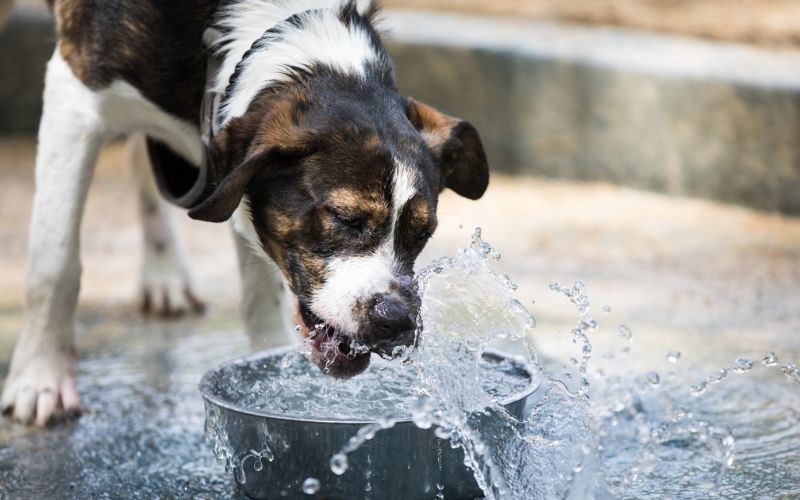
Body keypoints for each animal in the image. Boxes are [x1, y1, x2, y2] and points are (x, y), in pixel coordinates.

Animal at [1, 0, 488, 426]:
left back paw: (164, 272)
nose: (397, 321)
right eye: (345, 219)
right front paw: (39, 380)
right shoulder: (74, 95)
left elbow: (261, 291)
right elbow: (54, 267)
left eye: (422, 234)